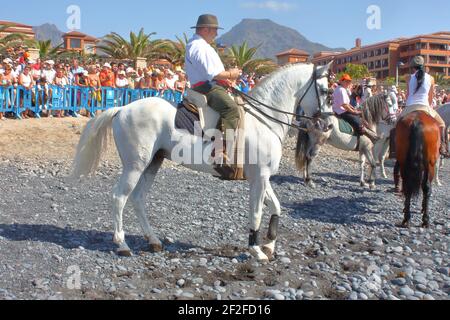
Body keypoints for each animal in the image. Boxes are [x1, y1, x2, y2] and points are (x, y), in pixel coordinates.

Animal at [72, 63, 332, 262]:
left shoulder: (263, 177)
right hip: (135, 166)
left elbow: (276, 207)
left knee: (137, 199)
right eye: (326, 91)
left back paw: (154, 241)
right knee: (119, 198)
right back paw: (123, 245)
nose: (329, 125)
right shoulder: (259, 178)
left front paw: (269, 245)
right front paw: (256, 250)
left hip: (152, 164)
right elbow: (257, 212)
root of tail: (123, 108)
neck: (264, 122)